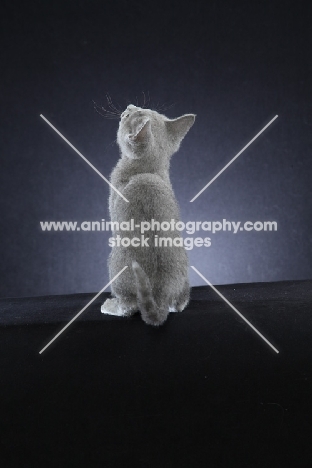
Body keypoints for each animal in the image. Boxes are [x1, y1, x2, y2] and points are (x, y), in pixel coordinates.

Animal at [101, 103, 196, 324]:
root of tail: (160, 294)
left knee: (129, 306)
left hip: (116, 263)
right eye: (140, 108)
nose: (129, 106)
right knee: (180, 303)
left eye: (129, 115)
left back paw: (110, 306)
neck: (149, 170)